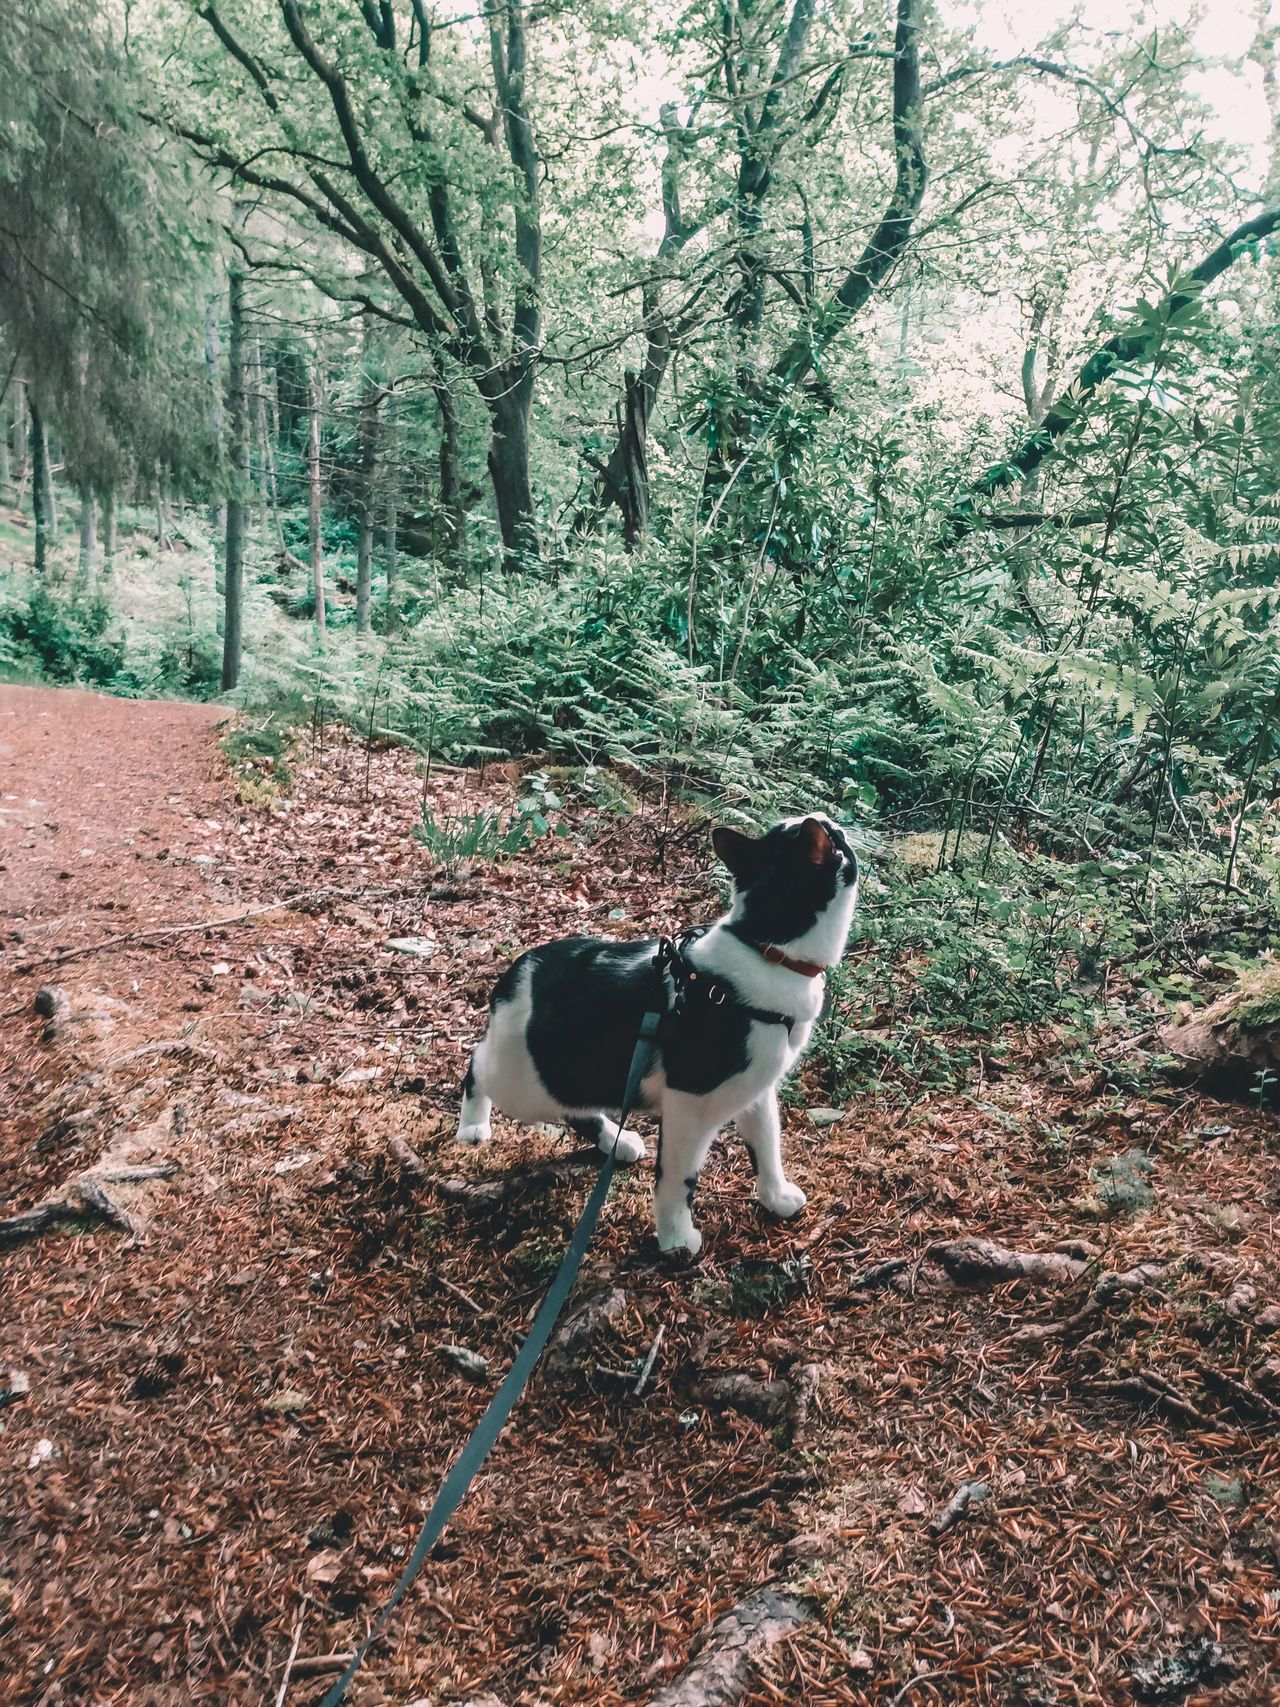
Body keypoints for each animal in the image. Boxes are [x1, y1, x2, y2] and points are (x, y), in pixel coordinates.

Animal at [453, 812, 863, 1256]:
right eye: (835, 836)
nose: (827, 818)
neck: (766, 950)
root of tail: (514, 972)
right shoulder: (691, 1101)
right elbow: (677, 1177)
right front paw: (675, 1238)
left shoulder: (756, 1087)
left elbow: (767, 1145)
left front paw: (776, 1197)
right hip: (524, 1083)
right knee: (478, 1061)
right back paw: (472, 1125)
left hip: (572, 1074)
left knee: (572, 1105)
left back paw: (616, 1140)